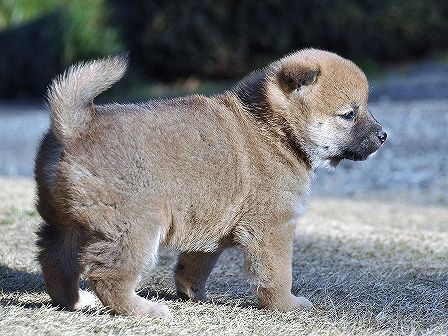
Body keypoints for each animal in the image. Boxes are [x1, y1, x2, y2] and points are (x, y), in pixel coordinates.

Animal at [35, 48, 386, 316]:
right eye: (349, 114)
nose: (383, 135)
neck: (275, 131)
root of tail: (77, 127)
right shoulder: (273, 227)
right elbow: (277, 274)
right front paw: (287, 304)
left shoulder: (212, 228)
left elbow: (193, 266)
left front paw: (194, 295)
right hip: (135, 228)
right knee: (108, 276)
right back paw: (142, 309)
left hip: (65, 223)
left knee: (55, 263)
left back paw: (75, 301)